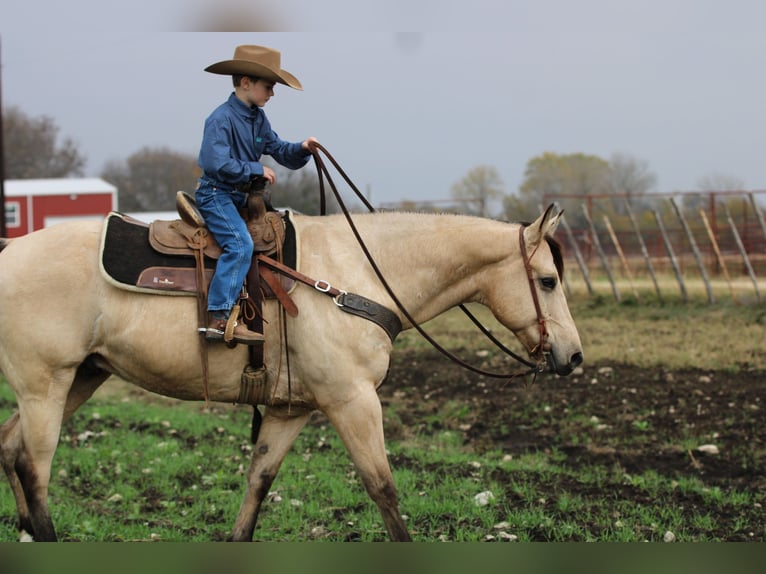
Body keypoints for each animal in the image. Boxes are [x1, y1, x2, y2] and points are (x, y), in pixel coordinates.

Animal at [0, 204, 584, 544]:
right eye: (549, 280)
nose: (575, 357)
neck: (357, 275)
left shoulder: (292, 409)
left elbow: (259, 484)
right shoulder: (352, 400)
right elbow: (383, 489)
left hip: (80, 377)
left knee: (9, 447)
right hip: (45, 383)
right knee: (33, 465)